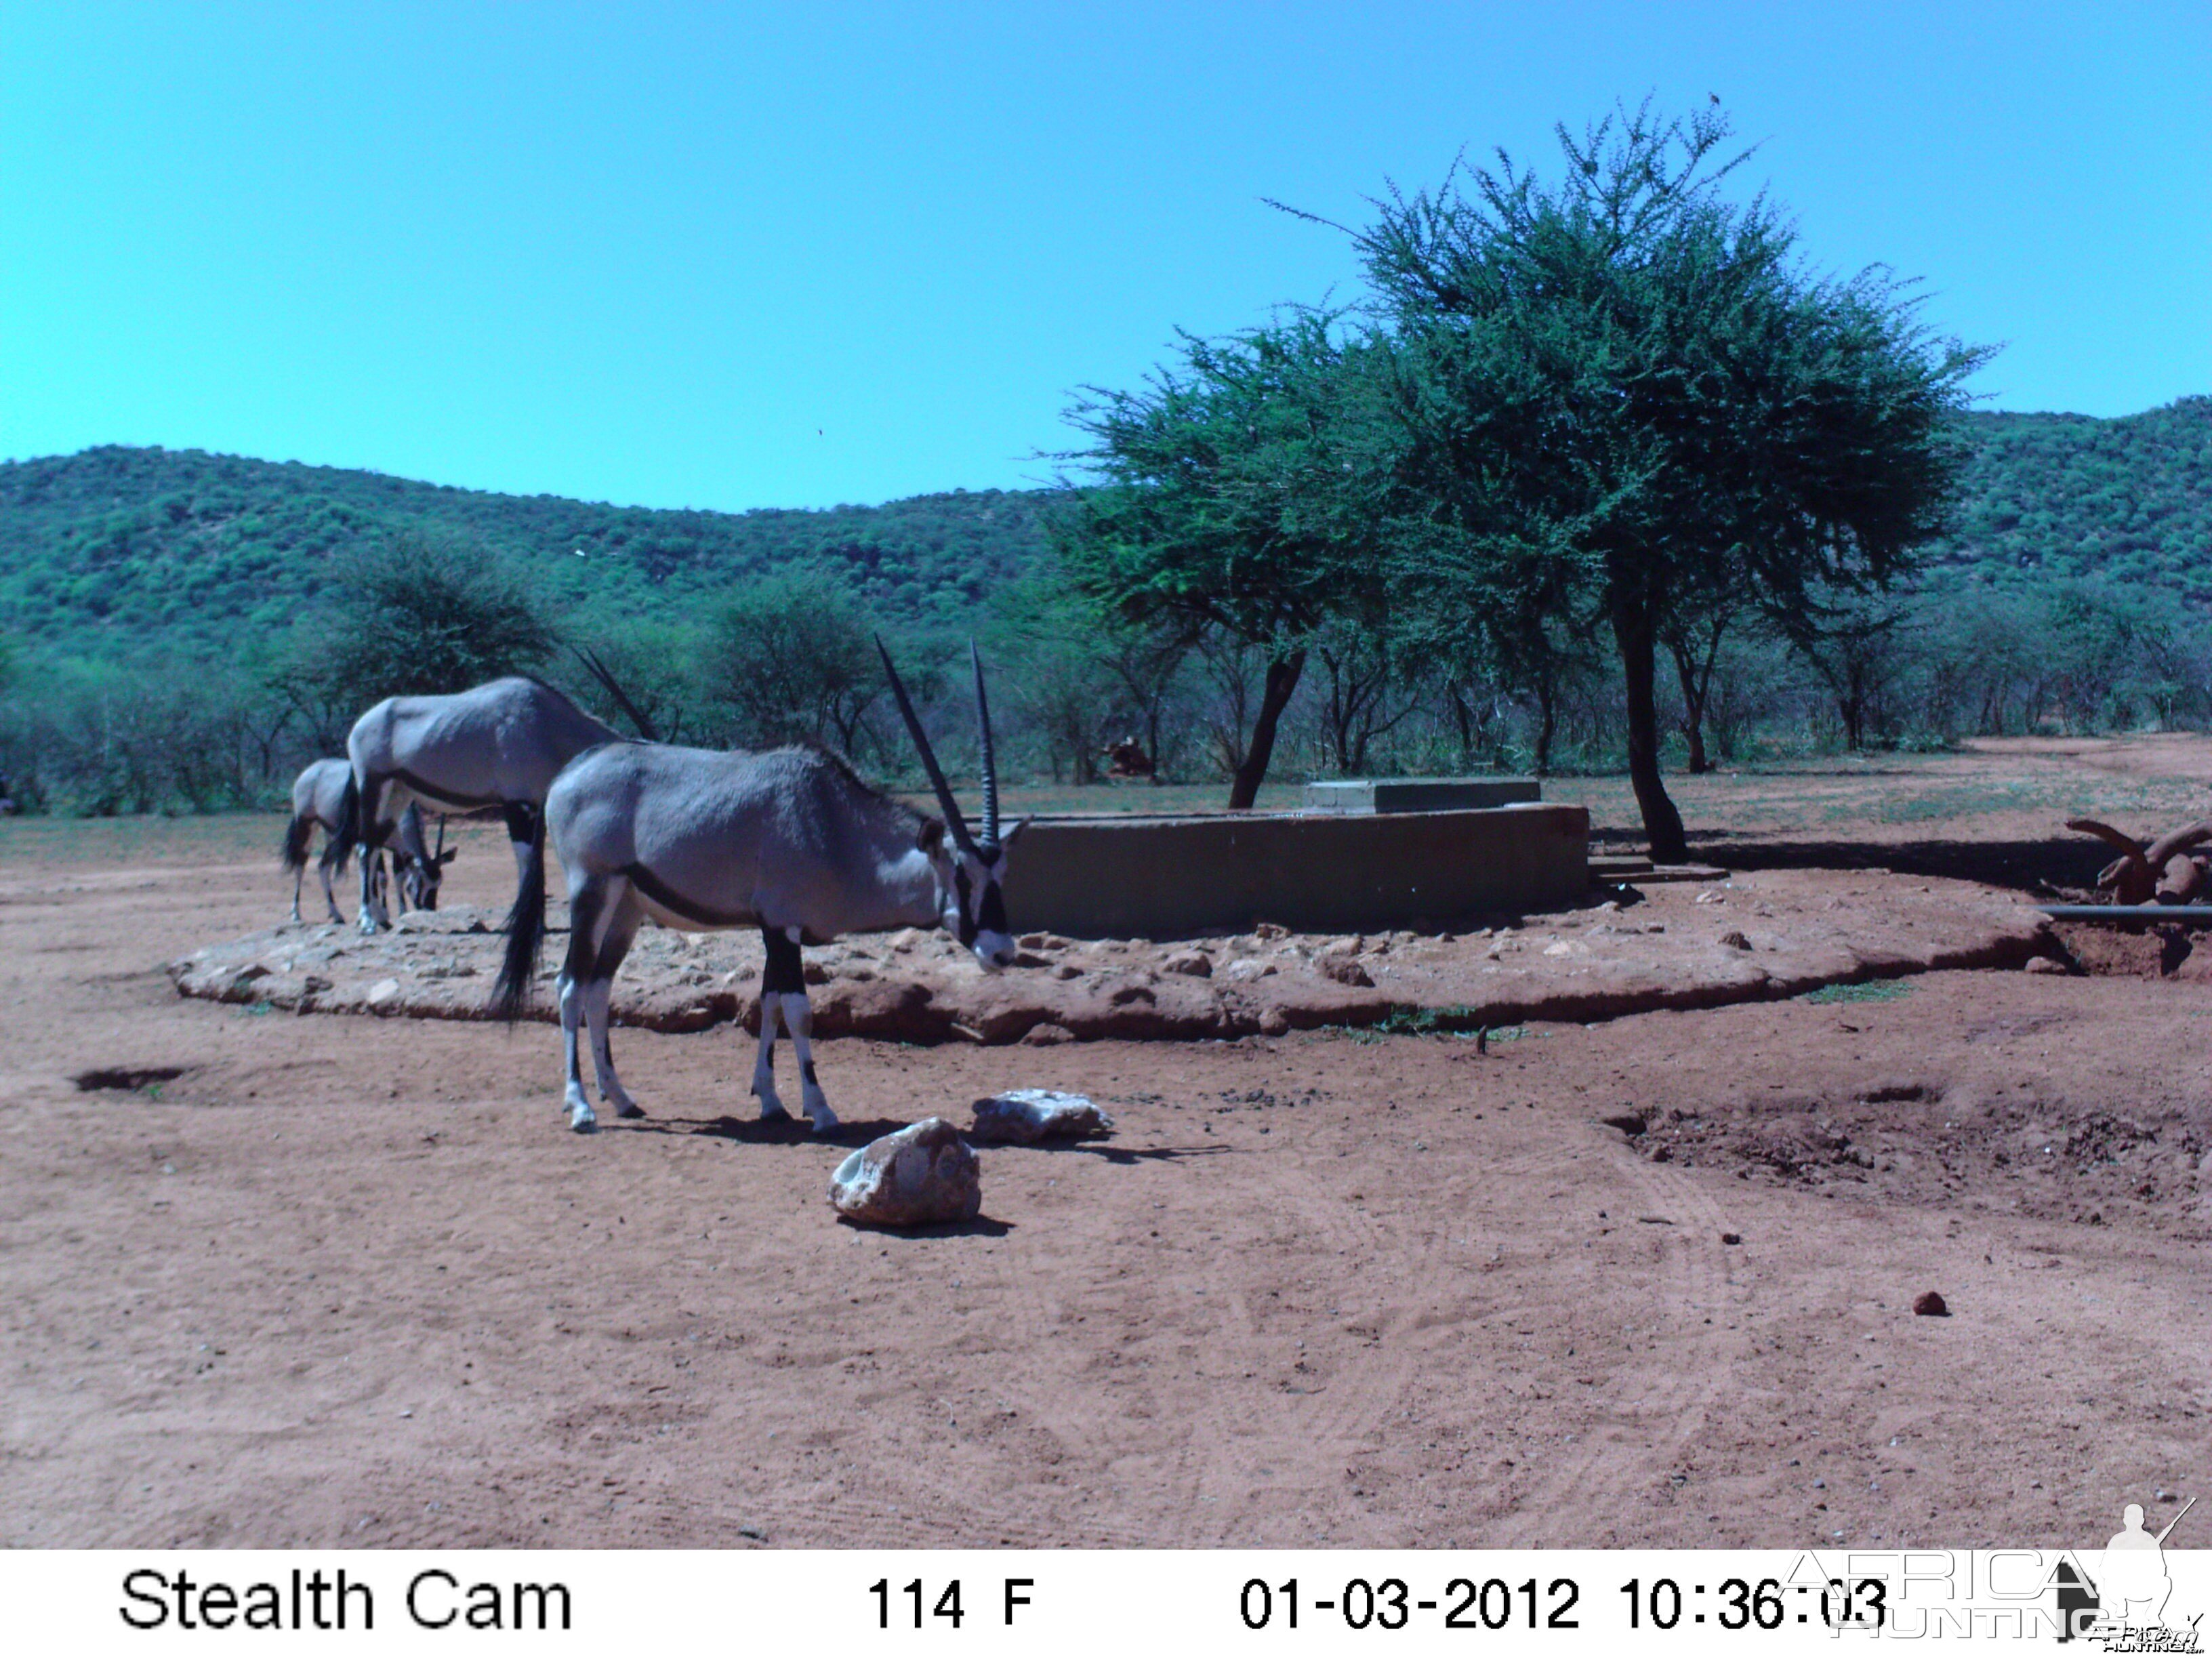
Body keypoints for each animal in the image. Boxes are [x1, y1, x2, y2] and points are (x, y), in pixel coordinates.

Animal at [345, 676, 623, 937]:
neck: (546, 722)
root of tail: (360, 724)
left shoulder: (535, 807)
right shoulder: (517, 804)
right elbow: (526, 860)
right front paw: (527, 924)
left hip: (397, 795)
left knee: (373, 846)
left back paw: (380, 918)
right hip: (372, 787)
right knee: (365, 849)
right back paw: (367, 921)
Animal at [489, 641, 1021, 1141]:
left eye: (1000, 875)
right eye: (961, 876)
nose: (1002, 953)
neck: (834, 824)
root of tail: (566, 776)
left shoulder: (775, 929)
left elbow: (769, 1005)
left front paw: (770, 1101)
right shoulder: (782, 926)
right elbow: (799, 1012)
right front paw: (822, 1111)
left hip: (627, 908)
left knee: (599, 989)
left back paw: (622, 1099)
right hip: (592, 889)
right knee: (571, 986)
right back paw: (581, 1107)